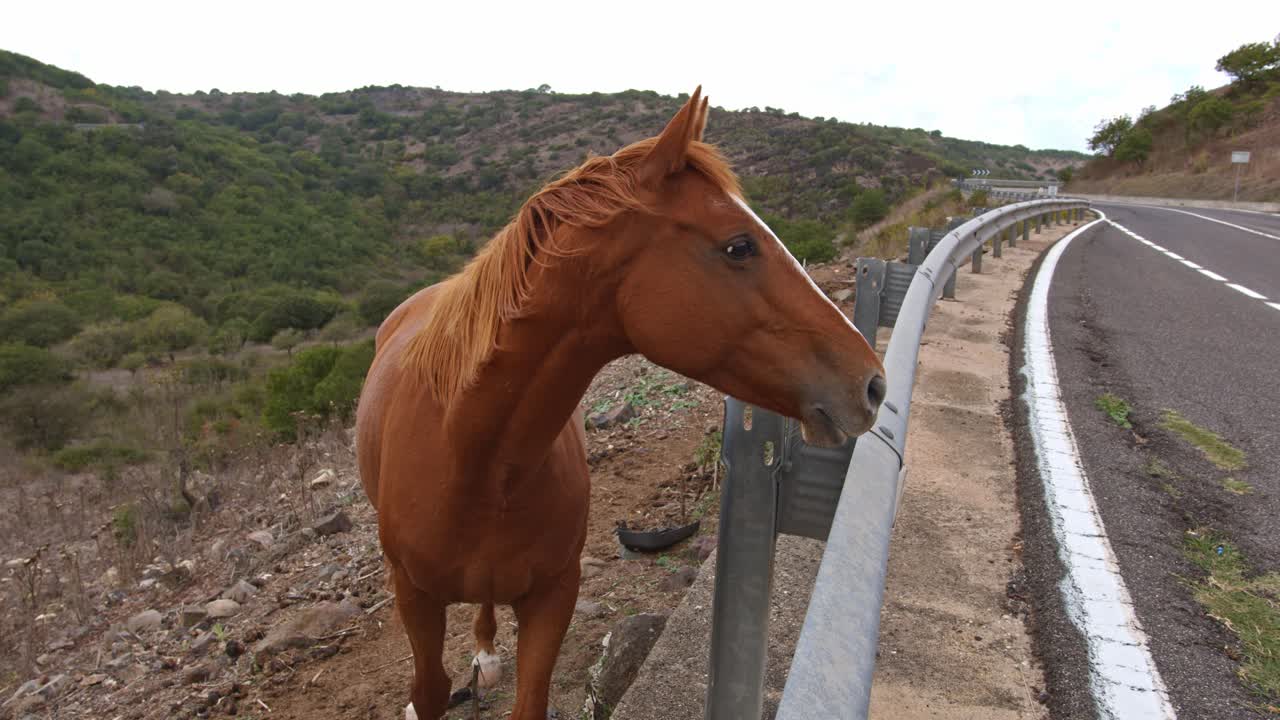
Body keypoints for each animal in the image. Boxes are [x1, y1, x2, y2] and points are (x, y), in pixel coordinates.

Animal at [356, 87, 887, 720]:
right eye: (739, 245)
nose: (873, 384)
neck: (470, 459)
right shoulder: (414, 597)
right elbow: (429, 690)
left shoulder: (554, 594)